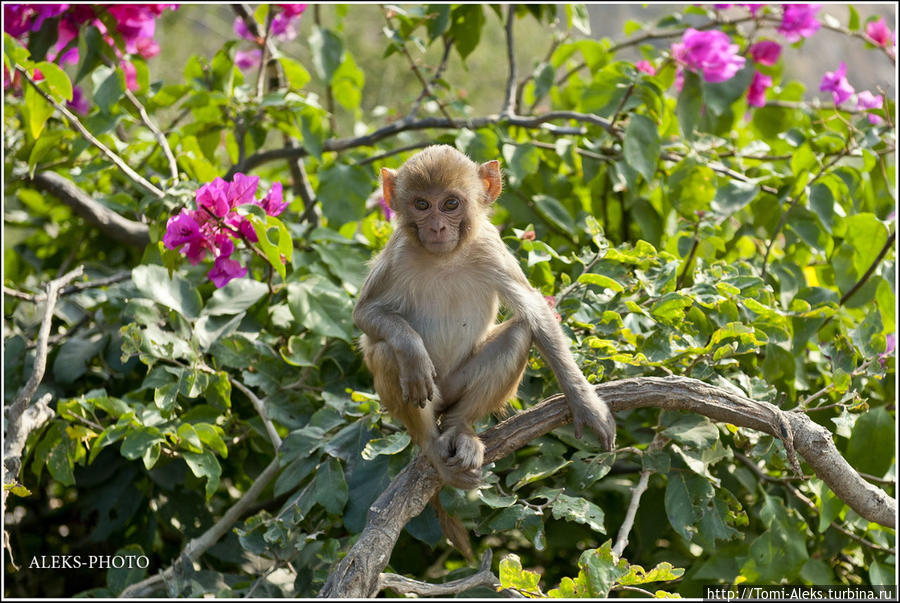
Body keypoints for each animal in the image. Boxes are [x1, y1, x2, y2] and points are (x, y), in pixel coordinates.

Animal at [356, 145, 616, 490]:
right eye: (422, 204)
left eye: (450, 204)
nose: (437, 227)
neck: (446, 258)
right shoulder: (397, 254)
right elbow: (365, 313)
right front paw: (412, 350)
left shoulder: (490, 246)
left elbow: (534, 311)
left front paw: (585, 403)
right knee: (388, 352)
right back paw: (433, 445)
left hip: (455, 387)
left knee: (519, 334)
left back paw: (460, 428)